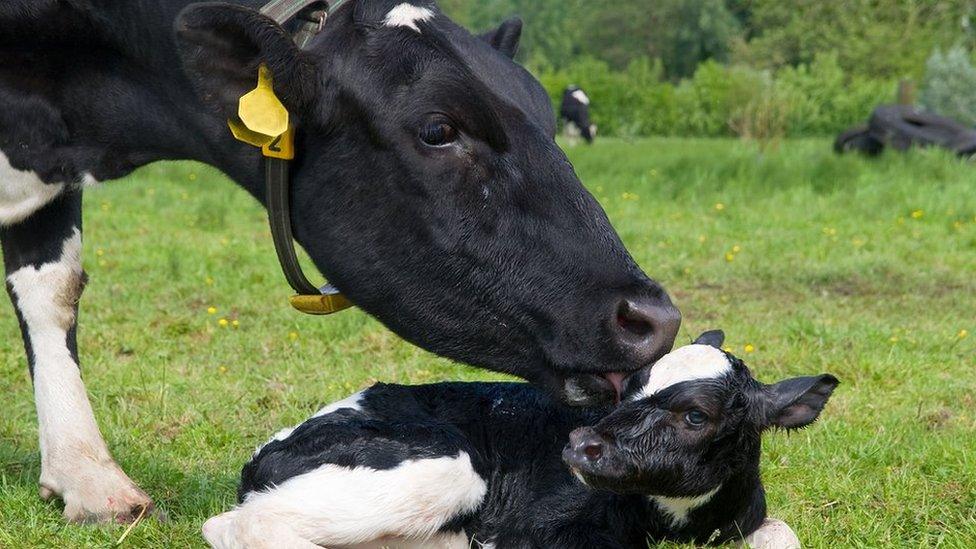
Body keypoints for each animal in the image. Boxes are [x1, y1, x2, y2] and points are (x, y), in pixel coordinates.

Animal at [206, 332, 840, 544]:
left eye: (695, 416)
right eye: (630, 387)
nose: (582, 443)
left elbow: (783, 533)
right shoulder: (529, 534)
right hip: (447, 466)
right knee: (238, 526)